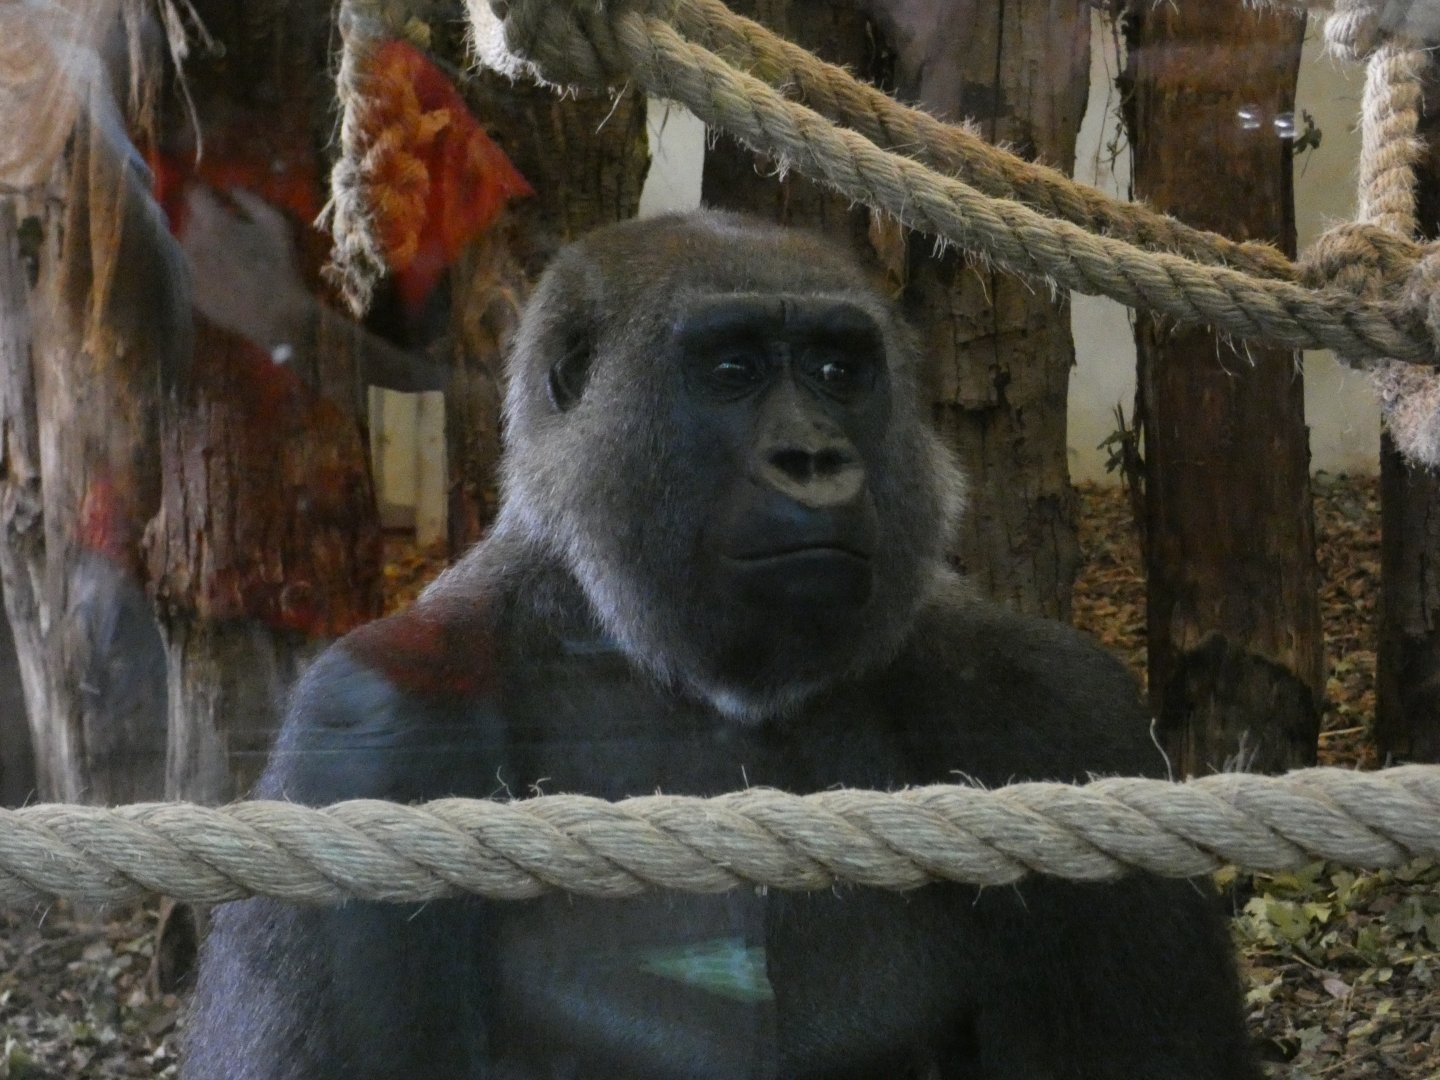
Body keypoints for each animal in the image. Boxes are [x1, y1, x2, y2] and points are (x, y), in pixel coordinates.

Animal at [184, 210, 1261, 1080]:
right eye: (733, 371)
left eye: (838, 370)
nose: (814, 458)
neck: (649, 649)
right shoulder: (365, 733)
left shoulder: (1069, 715)